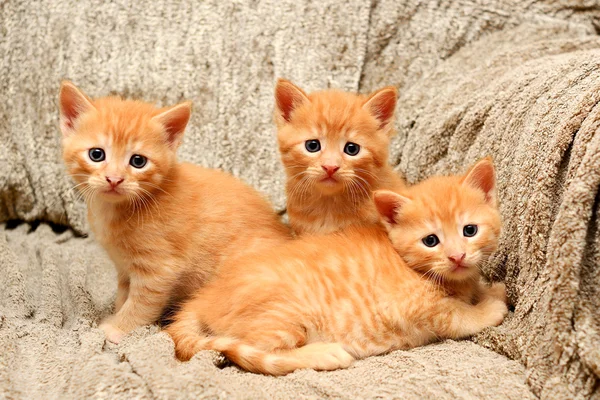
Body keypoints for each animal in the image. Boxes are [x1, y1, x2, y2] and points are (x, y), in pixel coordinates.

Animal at [59, 82, 290, 344]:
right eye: (96, 154)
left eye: (138, 161)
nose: (114, 179)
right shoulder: (124, 267)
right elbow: (124, 294)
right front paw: (116, 312)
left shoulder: (160, 270)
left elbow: (140, 304)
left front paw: (118, 327)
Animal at [166, 157, 508, 376]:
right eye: (431, 241)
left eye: (469, 231)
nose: (456, 256)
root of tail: (203, 297)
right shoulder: (412, 307)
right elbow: (457, 316)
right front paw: (488, 308)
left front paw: (489, 290)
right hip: (281, 314)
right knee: (258, 352)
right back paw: (323, 353)